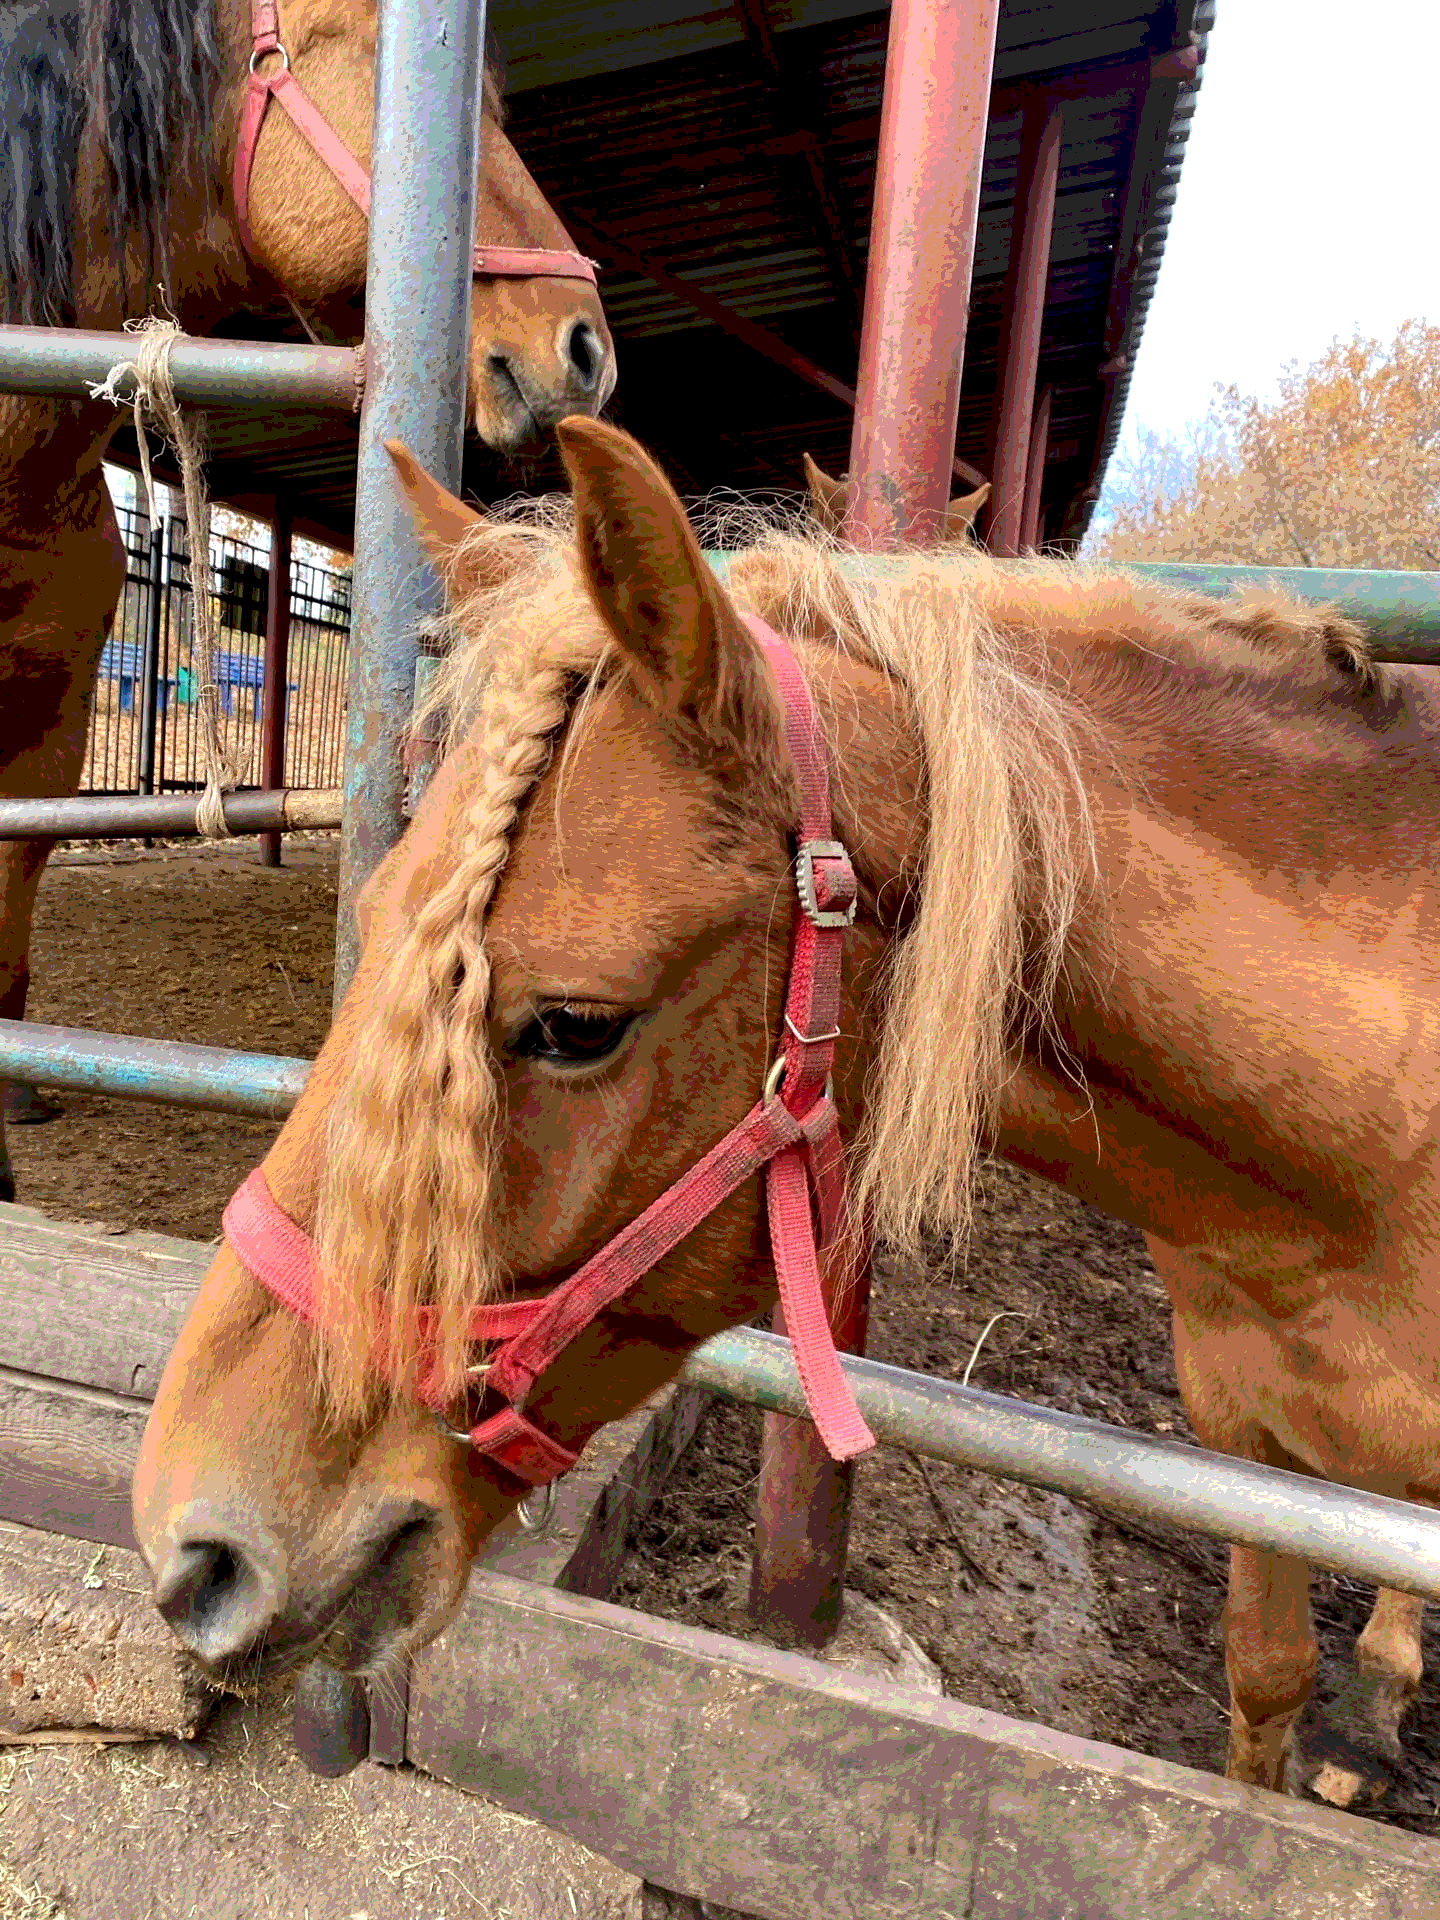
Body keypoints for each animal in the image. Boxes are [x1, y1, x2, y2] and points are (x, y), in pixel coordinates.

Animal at [132, 420, 1440, 1812]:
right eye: (374, 921)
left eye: (578, 1024)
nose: (190, 1542)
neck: (1359, 1178)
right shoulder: (1240, 1432)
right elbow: (1263, 1676)